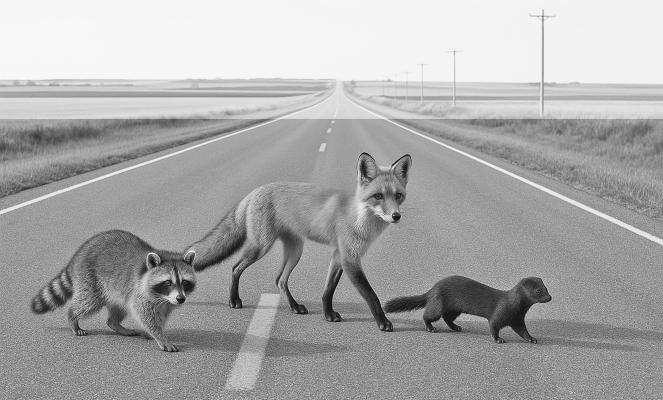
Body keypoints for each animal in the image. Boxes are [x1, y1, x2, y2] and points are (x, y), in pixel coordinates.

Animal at [31, 230, 197, 352]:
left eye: (184, 282)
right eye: (168, 282)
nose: (181, 299)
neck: (161, 296)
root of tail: (77, 255)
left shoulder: (166, 302)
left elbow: (161, 316)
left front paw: (156, 331)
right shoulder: (139, 293)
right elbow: (145, 315)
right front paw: (159, 336)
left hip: (116, 291)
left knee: (119, 308)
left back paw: (115, 324)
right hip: (90, 279)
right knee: (88, 302)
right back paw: (72, 317)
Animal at [186, 152, 412, 331]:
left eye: (398, 196)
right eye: (378, 196)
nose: (396, 216)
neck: (358, 217)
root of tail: (255, 191)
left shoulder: (338, 255)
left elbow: (328, 290)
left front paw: (328, 315)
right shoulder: (349, 258)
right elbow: (371, 295)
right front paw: (383, 322)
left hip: (295, 250)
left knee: (280, 280)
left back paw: (294, 306)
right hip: (261, 247)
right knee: (235, 268)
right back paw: (234, 300)